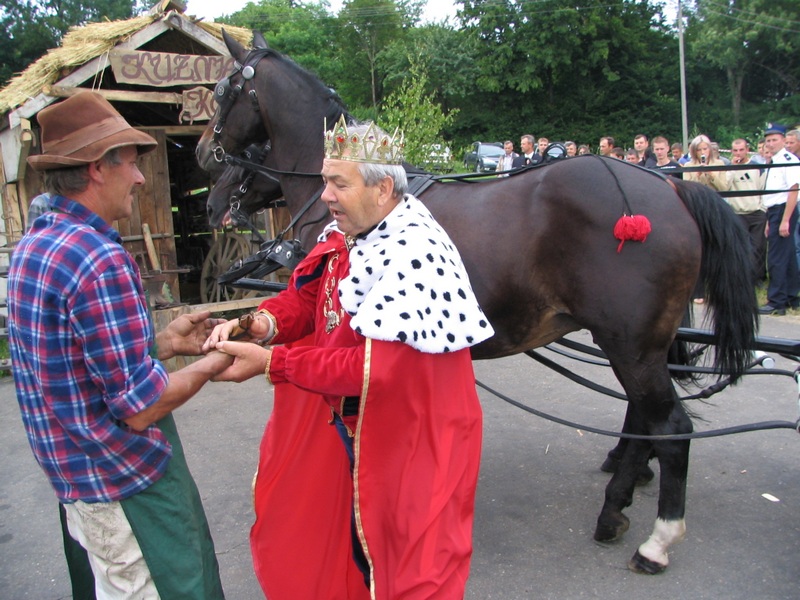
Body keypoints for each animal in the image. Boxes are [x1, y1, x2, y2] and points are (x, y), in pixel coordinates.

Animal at [196, 31, 758, 575]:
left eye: (222, 91)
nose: (206, 172)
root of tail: (670, 188)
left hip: (631, 345)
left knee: (669, 427)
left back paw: (656, 540)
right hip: (639, 346)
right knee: (643, 419)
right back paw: (616, 501)